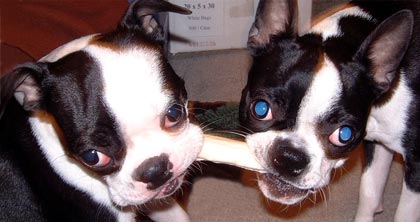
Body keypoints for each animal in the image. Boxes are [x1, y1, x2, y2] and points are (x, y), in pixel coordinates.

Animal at [240, 0, 420, 221]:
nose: (290, 158)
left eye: (344, 135)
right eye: (261, 108)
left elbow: (404, 214)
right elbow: (369, 191)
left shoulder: (417, 164)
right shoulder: (377, 144)